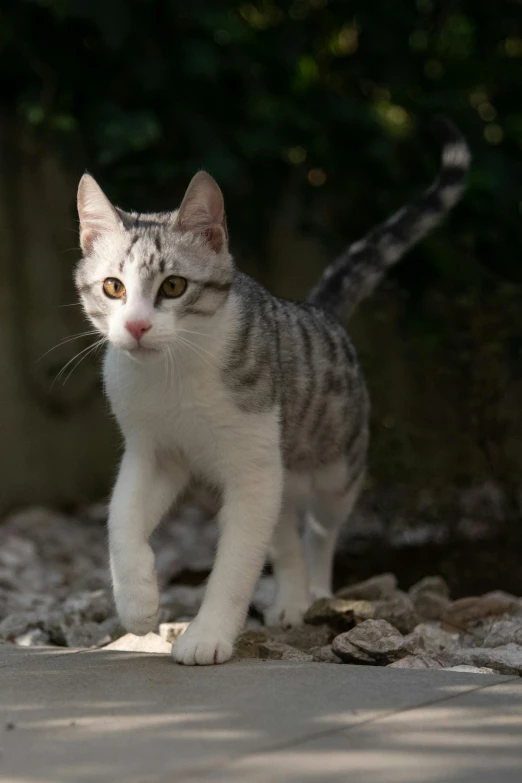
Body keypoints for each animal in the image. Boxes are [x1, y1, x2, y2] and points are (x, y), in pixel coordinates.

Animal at [73, 119, 468, 664]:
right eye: (113, 287)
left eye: (173, 286)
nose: (135, 327)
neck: (174, 374)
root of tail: (318, 309)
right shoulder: (153, 451)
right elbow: (120, 518)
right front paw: (137, 605)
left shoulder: (253, 464)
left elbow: (237, 560)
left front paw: (207, 635)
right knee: (284, 536)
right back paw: (291, 600)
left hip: (337, 465)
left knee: (320, 531)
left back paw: (317, 592)